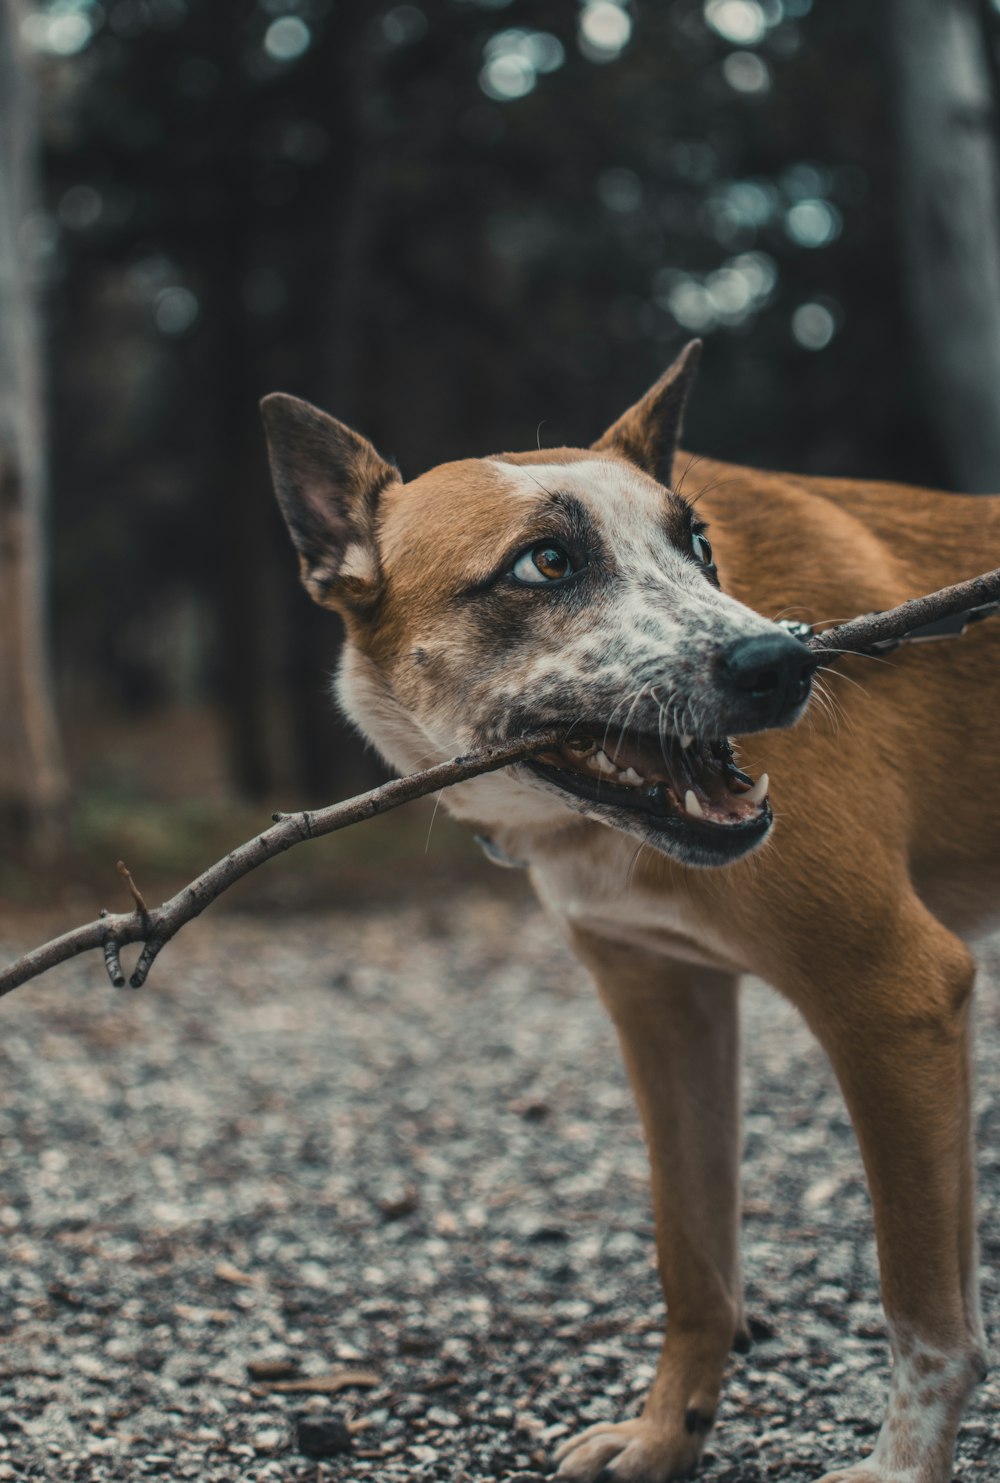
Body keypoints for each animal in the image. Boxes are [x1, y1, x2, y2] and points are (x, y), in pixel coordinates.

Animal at [261, 347, 991, 1483]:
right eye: (547, 563)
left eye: (698, 546)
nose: (784, 665)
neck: (591, 834)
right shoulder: (662, 998)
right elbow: (692, 1259)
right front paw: (664, 1435)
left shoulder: (898, 992)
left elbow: (923, 1306)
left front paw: (902, 1468)